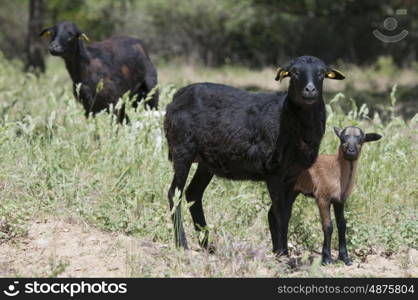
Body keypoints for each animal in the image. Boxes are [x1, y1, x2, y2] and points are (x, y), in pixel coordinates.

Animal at [165, 55, 344, 253]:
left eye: (322, 74)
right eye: (294, 73)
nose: (310, 90)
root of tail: (177, 96)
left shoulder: (293, 175)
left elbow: (285, 214)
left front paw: (280, 250)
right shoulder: (274, 172)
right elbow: (279, 213)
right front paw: (282, 252)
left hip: (206, 161)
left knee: (193, 193)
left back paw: (207, 245)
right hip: (182, 150)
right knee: (174, 193)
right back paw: (182, 244)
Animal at [294, 126, 382, 264]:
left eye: (361, 139)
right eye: (342, 138)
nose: (351, 151)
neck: (337, 171)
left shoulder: (340, 201)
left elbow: (342, 225)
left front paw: (345, 258)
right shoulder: (322, 198)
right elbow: (328, 226)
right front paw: (326, 258)